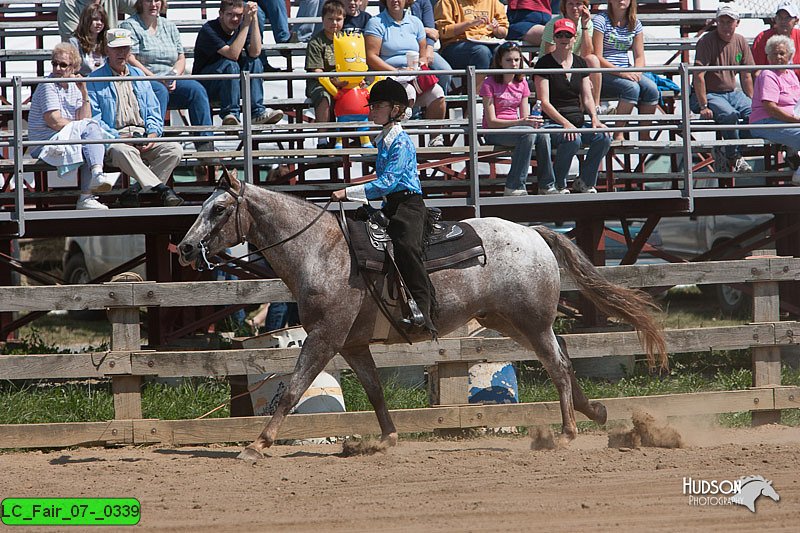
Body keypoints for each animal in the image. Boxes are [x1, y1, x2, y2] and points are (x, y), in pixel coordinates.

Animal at [178, 172, 664, 460]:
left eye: (219, 208)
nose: (183, 248)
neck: (320, 250)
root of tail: (534, 232)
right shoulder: (352, 344)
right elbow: (374, 391)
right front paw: (386, 439)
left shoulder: (324, 337)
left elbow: (293, 389)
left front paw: (256, 444)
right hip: (513, 321)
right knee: (561, 355)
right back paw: (594, 411)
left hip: (530, 321)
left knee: (559, 366)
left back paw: (566, 433)